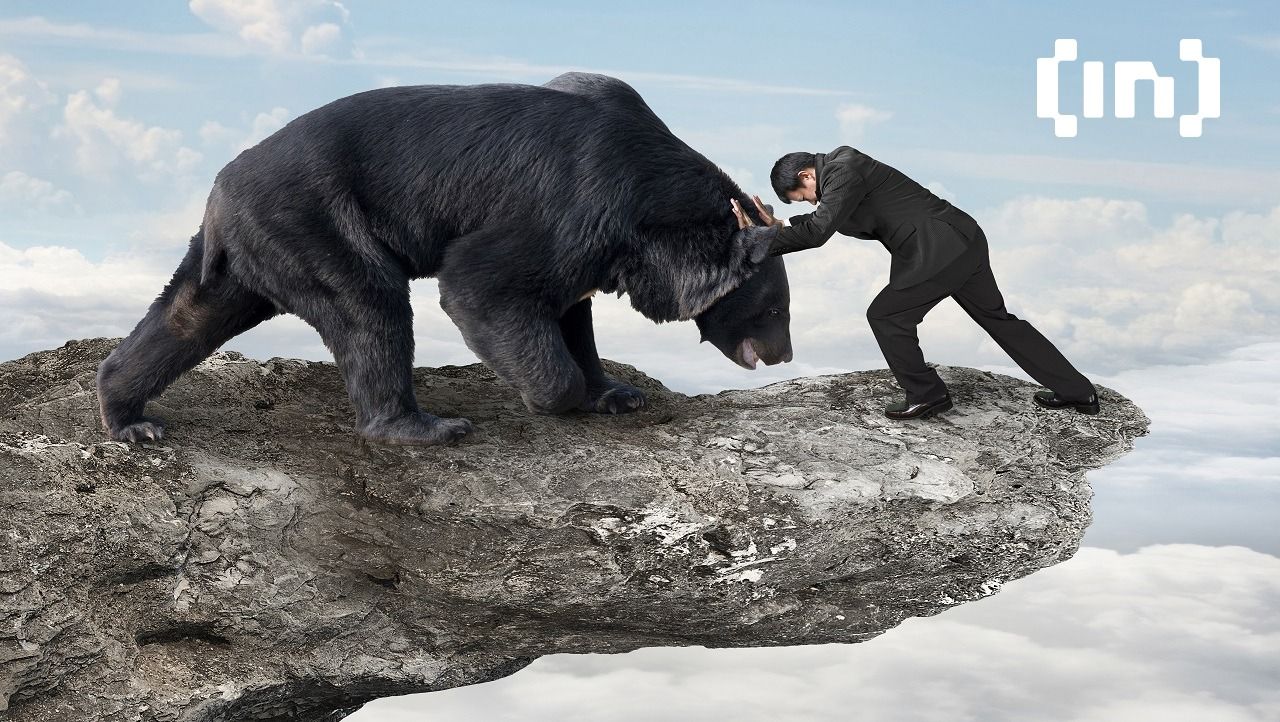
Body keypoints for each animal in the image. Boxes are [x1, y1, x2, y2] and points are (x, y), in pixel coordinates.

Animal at [96, 72, 791, 446]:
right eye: (775, 309)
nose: (783, 354)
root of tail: (217, 197)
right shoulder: (573, 209)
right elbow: (483, 282)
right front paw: (552, 396)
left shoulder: (596, 245)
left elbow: (571, 310)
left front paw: (616, 393)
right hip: (316, 221)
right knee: (370, 307)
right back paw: (422, 426)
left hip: (249, 254)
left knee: (188, 316)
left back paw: (129, 417)